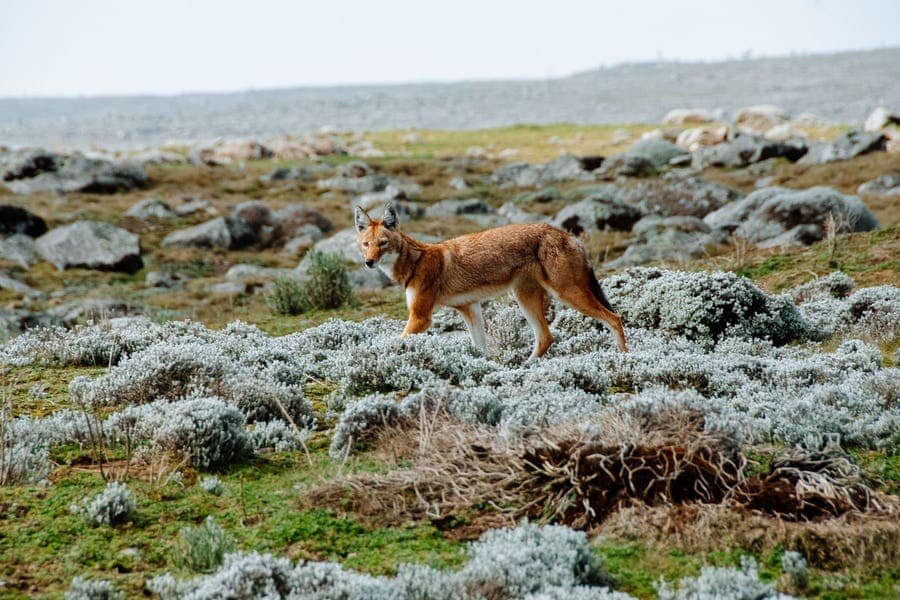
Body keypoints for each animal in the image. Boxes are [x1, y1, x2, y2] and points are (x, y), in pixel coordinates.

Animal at [354, 204, 624, 358]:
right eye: (366, 244)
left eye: (383, 244)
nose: (369, 262)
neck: (416, 262)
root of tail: (569, 236)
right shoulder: (470, 308)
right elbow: (480, 349)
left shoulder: (420, 317)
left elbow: (396, 341)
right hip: (525, 298)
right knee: (546, 338)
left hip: (567, 295)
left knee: (614, 318)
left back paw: (624, 359)